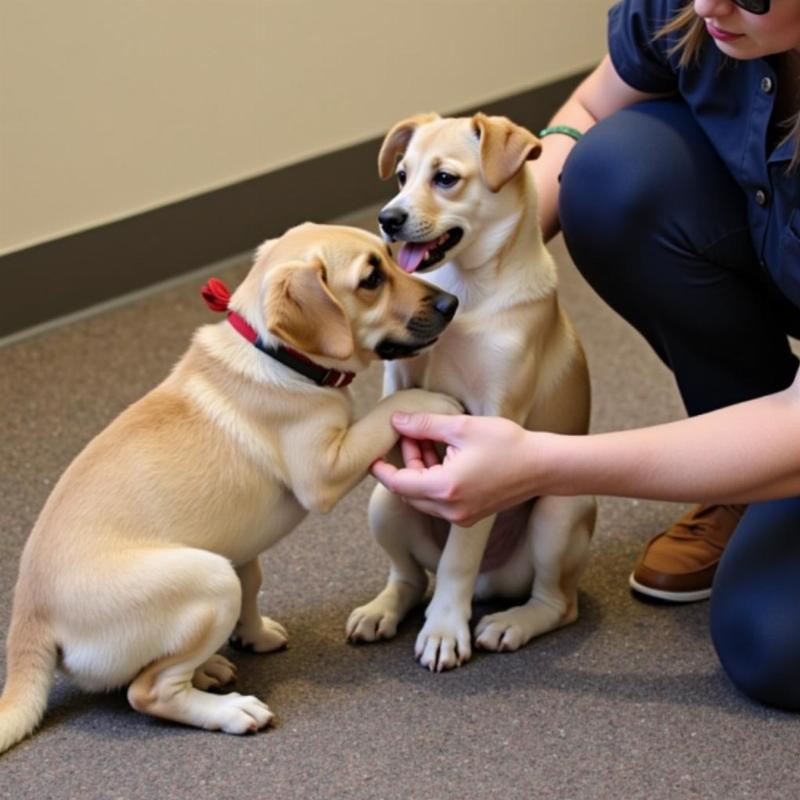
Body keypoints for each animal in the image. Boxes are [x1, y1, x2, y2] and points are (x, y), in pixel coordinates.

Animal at [0, 220, 462, 752]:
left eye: (389, 257)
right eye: (371, 279)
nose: (451, 302)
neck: (278, 356)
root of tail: (29, 622)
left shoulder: (252, 548)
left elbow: (253, 591)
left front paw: (253, 636)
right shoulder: (325, 469)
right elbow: (387, 411)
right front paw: (429, 401)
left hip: (224, 564)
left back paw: (213, 666)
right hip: (210, 577)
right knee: (148, 689)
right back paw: (231, 710)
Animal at [346, 112, 596, 672]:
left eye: (445, 178)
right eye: (401, 175)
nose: (387, 219)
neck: (465, 291)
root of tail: (492, 582)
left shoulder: (491, 428)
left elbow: (459, 557)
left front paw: (443, 630)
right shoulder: (402, 378)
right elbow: (397, 399)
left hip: (562, 509)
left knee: (556, 602)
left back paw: (511, 622)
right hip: (386, 501)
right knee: (409, 577)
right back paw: (382, 609)